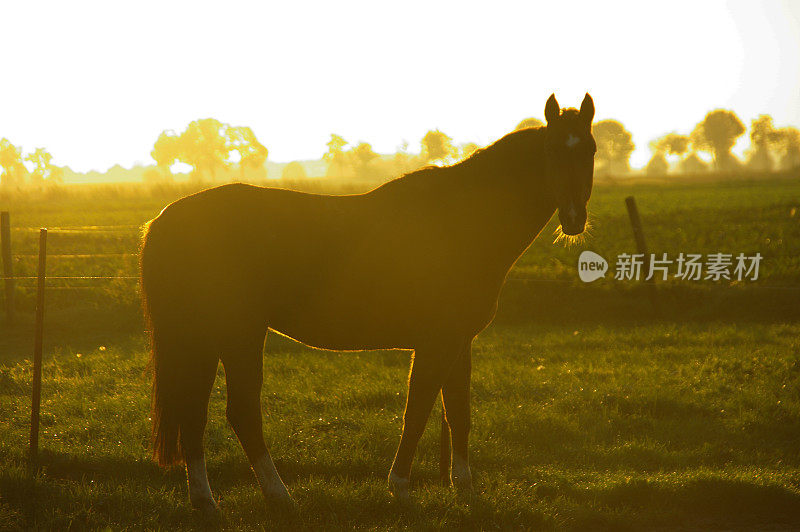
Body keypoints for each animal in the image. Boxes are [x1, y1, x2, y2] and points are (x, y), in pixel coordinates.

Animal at [141, 92, 596, 512]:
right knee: (242, 412)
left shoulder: (459, 341)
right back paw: (278, 496)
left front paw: (464, 487)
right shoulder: (435, 342)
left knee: (194, 414)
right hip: (238, 334)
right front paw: (400, 486)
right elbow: (417, 411)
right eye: (553, 150)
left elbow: (458, 414)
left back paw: (205, 500)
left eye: (589, 150)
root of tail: (168, 218)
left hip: (204, 337)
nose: (574, 219)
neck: (459, 221)